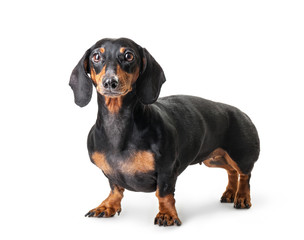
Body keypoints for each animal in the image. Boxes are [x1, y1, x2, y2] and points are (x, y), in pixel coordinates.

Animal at [70, 37, 260, 225]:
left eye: (129, 55)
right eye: (96, 57)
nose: (110, 82)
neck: (118, 126)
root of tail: (241, 113)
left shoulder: (167, 169)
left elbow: (163, 193)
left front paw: (167, 214)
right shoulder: (110, 172)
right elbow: (115, 189)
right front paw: (107, 206)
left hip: (240, 156)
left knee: (244, 174)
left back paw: (242, 197)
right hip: (213, 159)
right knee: (231, 171)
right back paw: (230, 193)